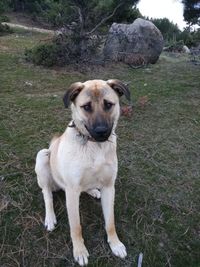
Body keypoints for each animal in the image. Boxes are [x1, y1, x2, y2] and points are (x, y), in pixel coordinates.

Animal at [35, 79, 130, 266]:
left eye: (108, 104)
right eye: (86, 107)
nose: (101, 131)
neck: (95, 146)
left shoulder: (109, 187)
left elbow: (110, 222)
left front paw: (115, 244)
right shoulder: (72, 192)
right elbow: (76, 227)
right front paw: (79, 251)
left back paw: (93, 191)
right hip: (43, 155)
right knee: (47, 194)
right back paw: (50, 217)